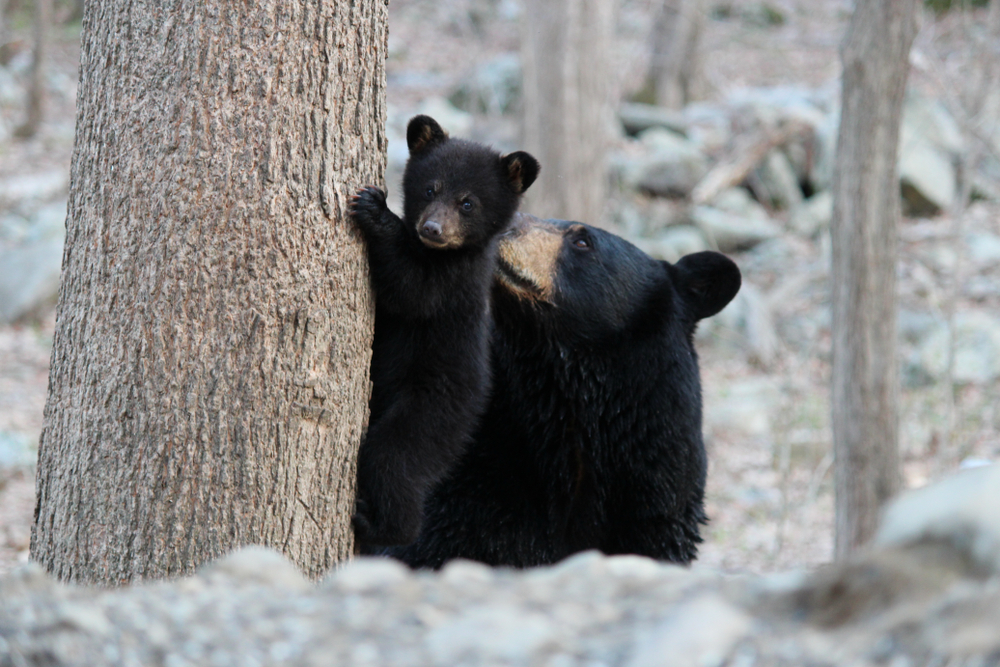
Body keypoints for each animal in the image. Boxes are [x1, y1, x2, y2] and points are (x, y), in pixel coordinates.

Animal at [352, 117, 540, 552]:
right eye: (430, 188)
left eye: (468, 203)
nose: (433, 228)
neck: (439, 253)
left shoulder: (454, 283)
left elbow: (410, 289)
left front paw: (375, 210)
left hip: (435, 409)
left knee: (394, 461)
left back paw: (380, 527)